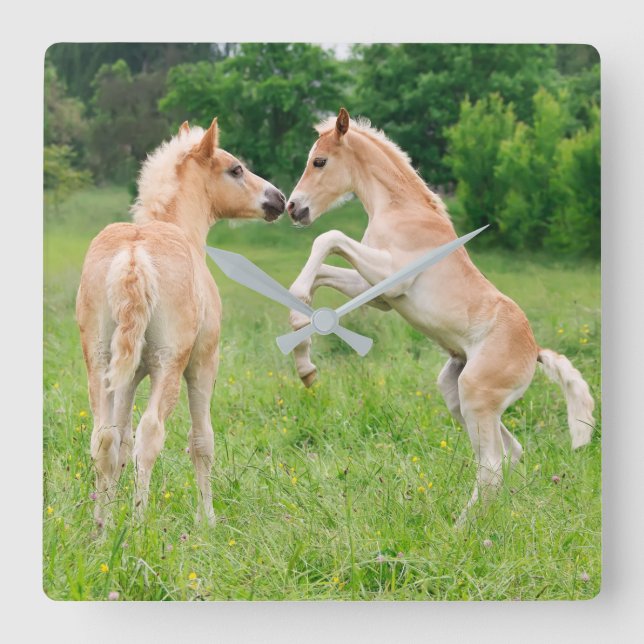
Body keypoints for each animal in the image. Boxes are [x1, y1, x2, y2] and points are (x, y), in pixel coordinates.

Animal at [76, 118, 285, 526]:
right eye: (236, 169)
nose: (279, 199)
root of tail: (134, 255)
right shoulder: (203, 363)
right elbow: (201, 440)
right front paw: (209, 520)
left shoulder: (128, 376)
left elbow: (120, 440)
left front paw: (111, 510)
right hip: (169, 364)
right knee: (151, 433)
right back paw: (138, 525)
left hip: (101, 363)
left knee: (104, 437)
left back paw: (101, 528)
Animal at [285, 107, 594, 524]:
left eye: (319, 161)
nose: (293, 208)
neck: (400, 209)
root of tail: (535, 352)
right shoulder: (379, 292)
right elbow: (322, 272)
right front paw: (304, 359)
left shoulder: (390, 277)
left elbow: (327, 239)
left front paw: (300, 312)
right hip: (457, 393)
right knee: (508, 454)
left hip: (476, 395)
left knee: (492, 465)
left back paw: (460, 528)